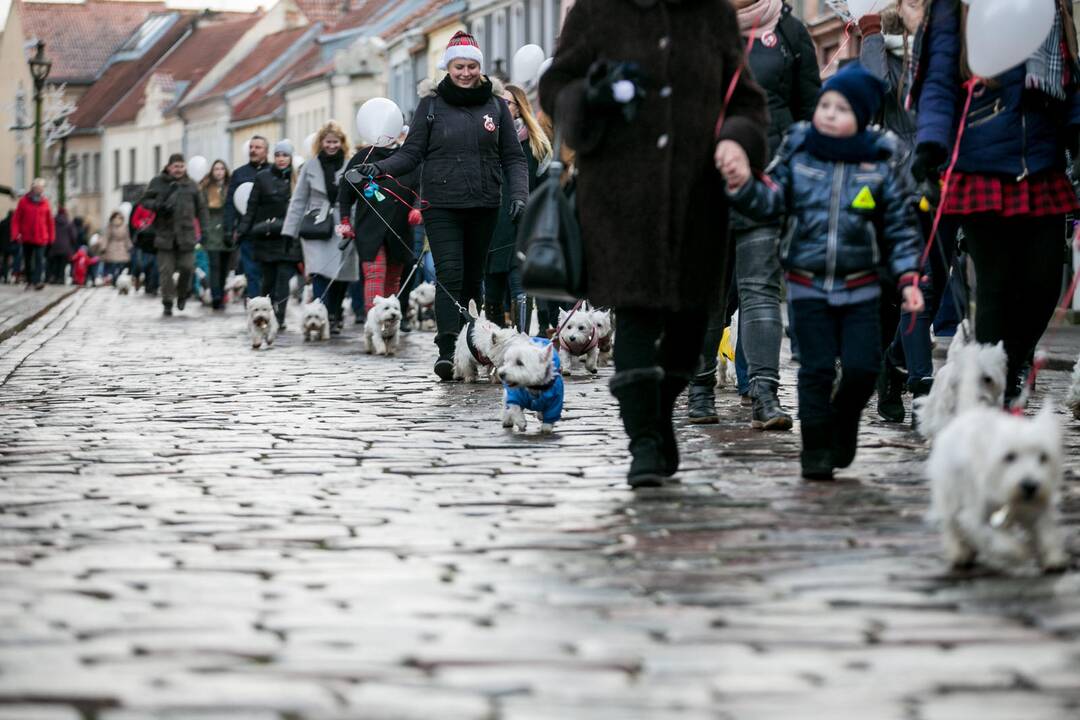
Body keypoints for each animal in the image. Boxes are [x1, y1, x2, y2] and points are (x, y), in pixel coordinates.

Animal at [928, 405, 1071, 574]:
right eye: (1009, 456)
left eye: (1043, 457)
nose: (1030, 486)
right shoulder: (976, 517)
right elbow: (996, 539)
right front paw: (1021, 551)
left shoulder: (1038, 506)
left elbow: (1046, 531)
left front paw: (1053, 559)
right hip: (950, 495)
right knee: (951, 524)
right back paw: (960, 553)